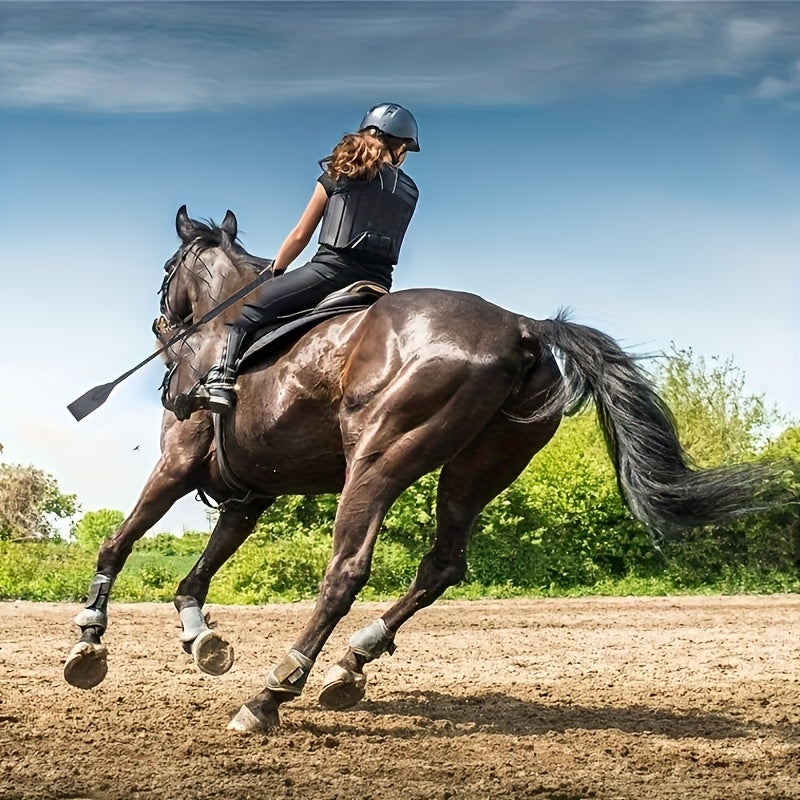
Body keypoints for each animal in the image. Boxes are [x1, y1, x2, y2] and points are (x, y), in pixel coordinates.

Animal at [64, 205, 788, 732]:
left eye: (168, 268)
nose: (162, 327)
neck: (221, 334)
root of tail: (522, 327)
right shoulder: (250, 493)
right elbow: (197, 574)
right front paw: (200, 638)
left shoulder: (178, 465)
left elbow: (118, 542)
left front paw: (90, 642)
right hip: (478, 469)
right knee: (441, 565)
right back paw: (351, 664)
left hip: (380, 459)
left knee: (346, 571)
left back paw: (274, 692)